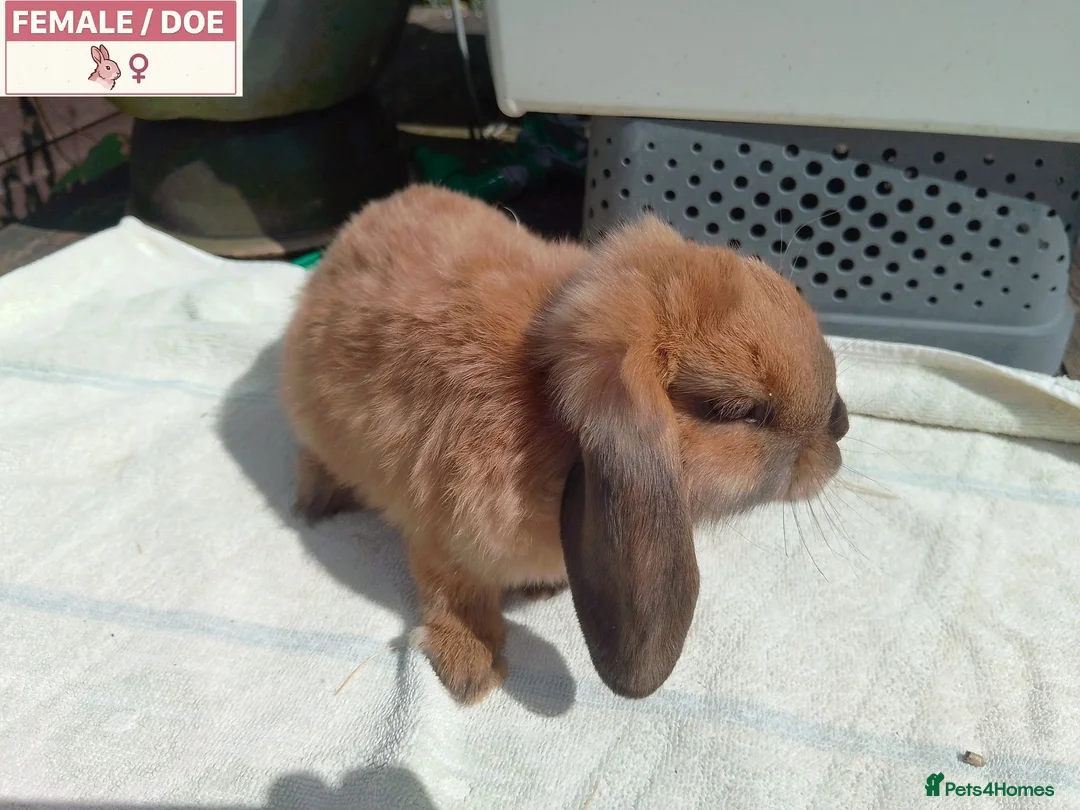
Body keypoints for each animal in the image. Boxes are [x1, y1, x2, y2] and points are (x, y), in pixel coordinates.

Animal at [280, 184, 849, 705]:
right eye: (732, 409)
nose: (841, 426)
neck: (544, 411)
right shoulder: (440, 539)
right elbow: (454, 595)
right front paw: (472, 671)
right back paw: (315, 501)